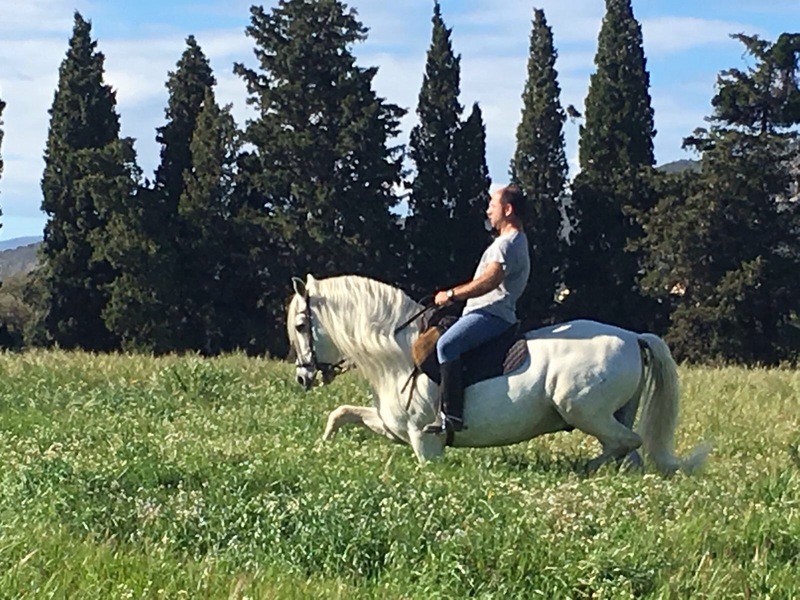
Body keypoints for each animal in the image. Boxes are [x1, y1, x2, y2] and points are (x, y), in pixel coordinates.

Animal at [287, 273, 709, 474]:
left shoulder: (425, 441)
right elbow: (341, 414)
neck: (399, 354)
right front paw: (322, 447)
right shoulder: (392, 427)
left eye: (301, 325)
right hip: (615, 412)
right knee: (630, 454)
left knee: (627, 442)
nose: (303, 378)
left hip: (584, 412)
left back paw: (584, 470)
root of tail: (633, 336)